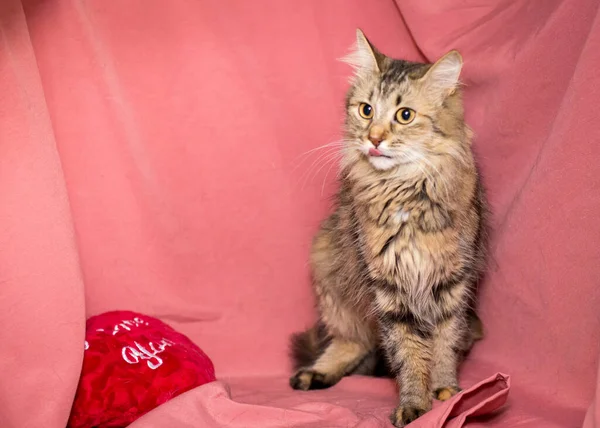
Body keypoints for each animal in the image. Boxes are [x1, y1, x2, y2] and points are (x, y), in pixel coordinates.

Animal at [288, 30, 488, 428]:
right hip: (328, 268)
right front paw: (414, 404)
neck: (403, 192)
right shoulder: (389, 289)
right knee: (354, 341)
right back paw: (314, 373)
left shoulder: (452, 282)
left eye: (404, 115)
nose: (374, 139)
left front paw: (446, 390)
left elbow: (444, 344)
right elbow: (408, 353)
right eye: (366, 110)